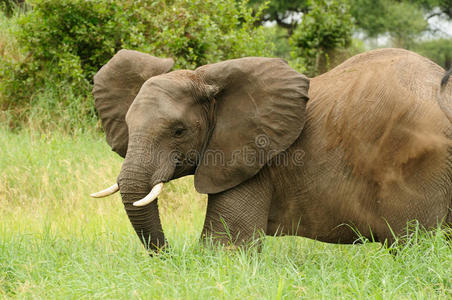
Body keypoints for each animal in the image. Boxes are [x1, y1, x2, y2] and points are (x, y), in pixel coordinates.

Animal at [90, 48, 450, 252]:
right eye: (128, 125)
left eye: (178, 131)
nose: (168, 254)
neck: (205, 79)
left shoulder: (250, 164)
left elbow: (226, 246)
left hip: (418, 162)